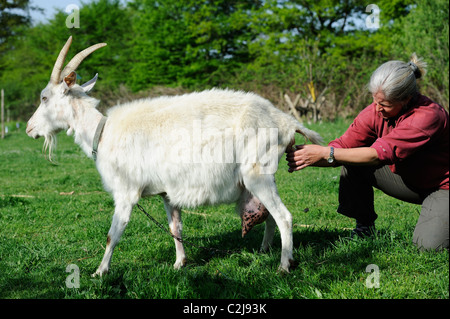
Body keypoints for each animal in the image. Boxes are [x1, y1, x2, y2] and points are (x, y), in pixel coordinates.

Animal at [27, 37, 324, 276]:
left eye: (44, 98)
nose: (30, 128)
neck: (101, 133)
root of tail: (285, 121)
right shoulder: (166, 193)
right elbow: (175, 228)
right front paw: (179, 263)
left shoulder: (126, 191)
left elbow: (114, 233)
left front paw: (100, 271)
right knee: (272, 218)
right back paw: (265, 251)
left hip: (257, 173)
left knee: (284, 216)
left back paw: (284, 266)